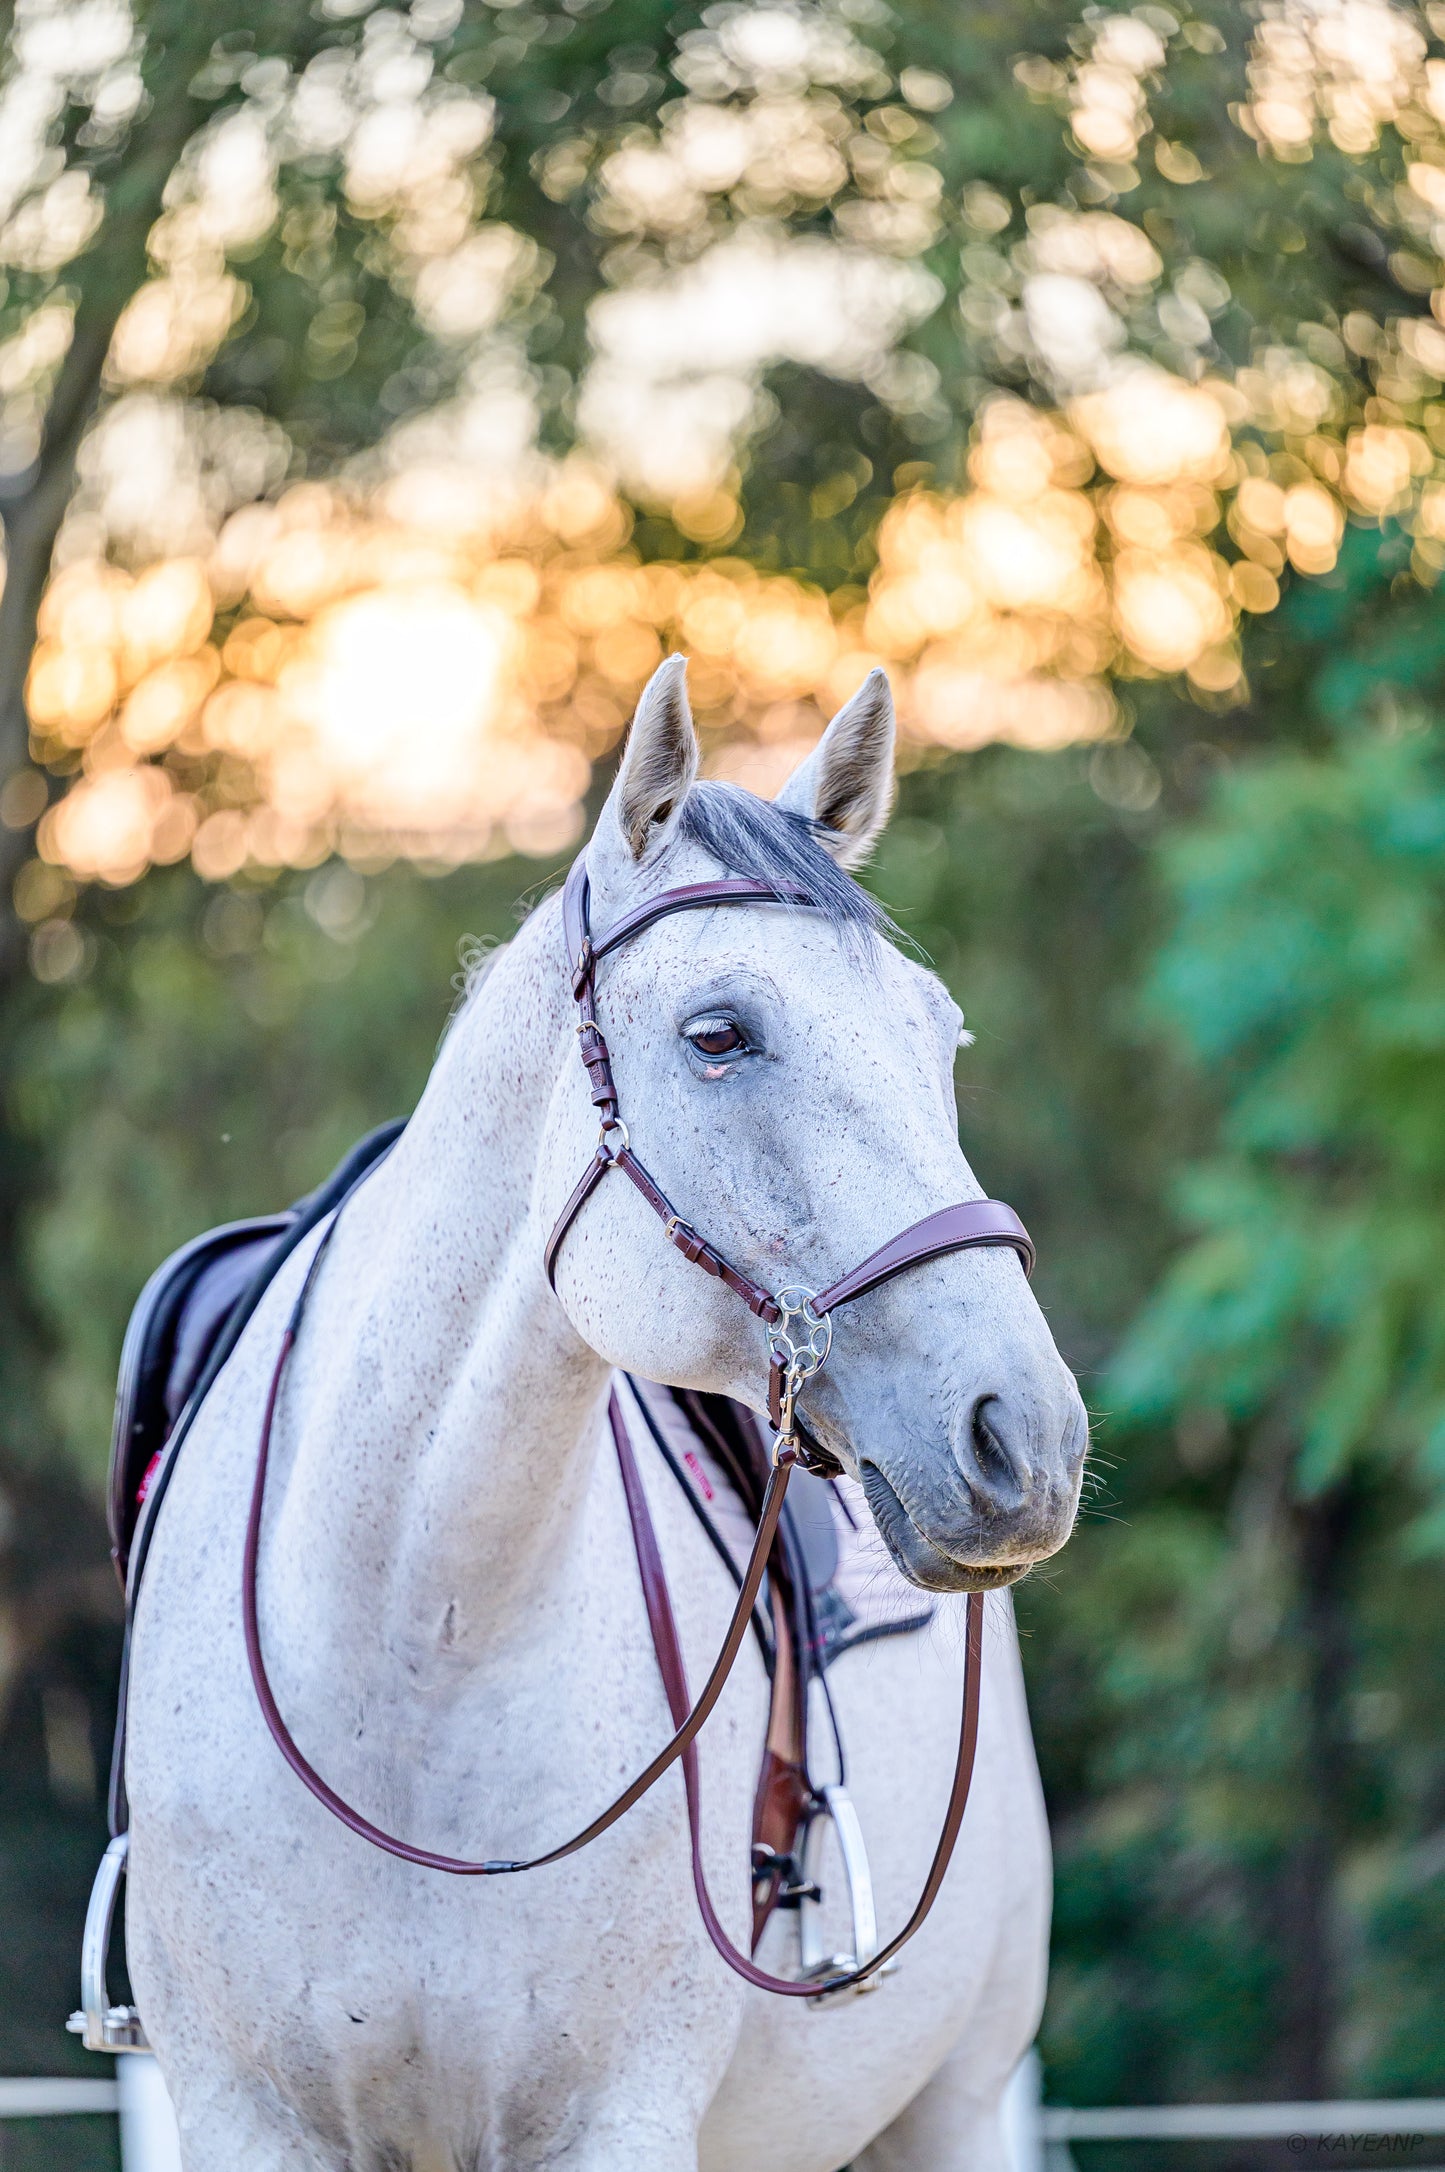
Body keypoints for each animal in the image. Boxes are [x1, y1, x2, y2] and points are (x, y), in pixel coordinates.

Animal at [126, 660, 1082, 2172]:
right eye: (717, 1035)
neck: (415, 1643)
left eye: (939, 1038)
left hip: (955, 2108)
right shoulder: (242, 2119)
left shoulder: (616, 2122)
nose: (1023, 1440)